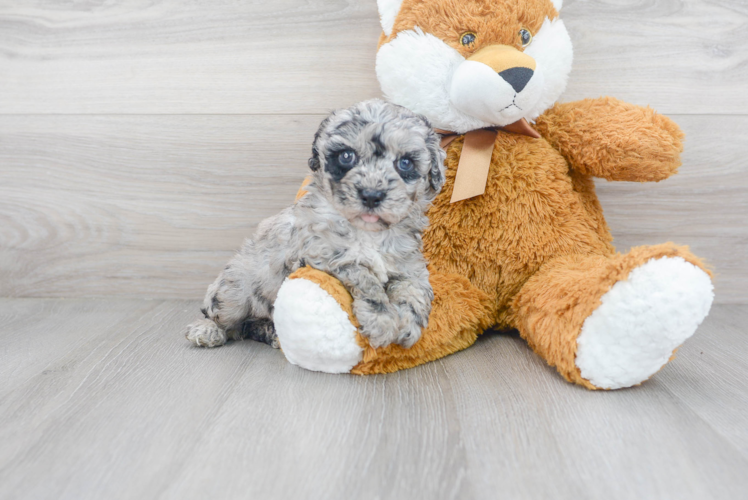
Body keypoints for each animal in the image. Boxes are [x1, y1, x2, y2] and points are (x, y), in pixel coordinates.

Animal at [185, 99, 448, 352]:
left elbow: (414, 292)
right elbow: (365, 278)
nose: (371, 195)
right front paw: (381, 321)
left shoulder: (408, 266)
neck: (368, 233)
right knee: (223, 318)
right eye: (346, 156)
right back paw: (206, 331)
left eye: (405, 163)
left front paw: (408, 324)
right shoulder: (322, 255)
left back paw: (271, 332)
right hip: (233, 292)